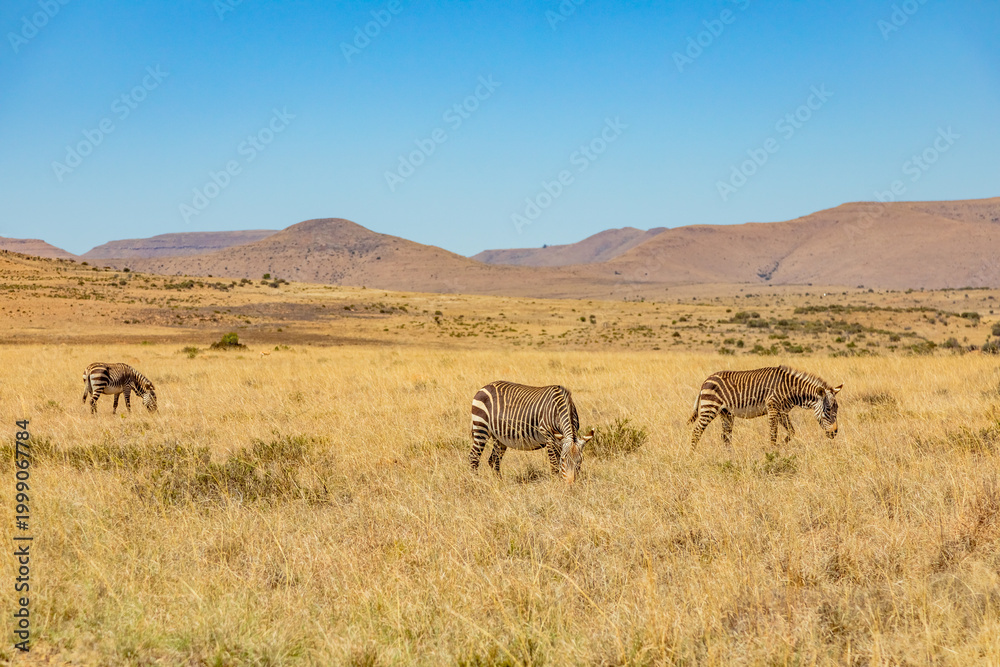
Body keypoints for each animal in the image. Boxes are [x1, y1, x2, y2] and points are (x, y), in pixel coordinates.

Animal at [688, 365, 842, 448]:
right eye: (828, 410)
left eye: (837, 409)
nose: (834, 433)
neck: (791, 390)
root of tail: (706, 381)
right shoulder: (773, 408)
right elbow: (773, 433)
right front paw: (772, 451)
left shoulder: (782, 412)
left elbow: (791, 432)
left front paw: (780, 446)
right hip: (709, 408)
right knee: (696, 432)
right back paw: (692, 455)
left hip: (726, 412)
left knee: (725, 437)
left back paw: (729, 456)